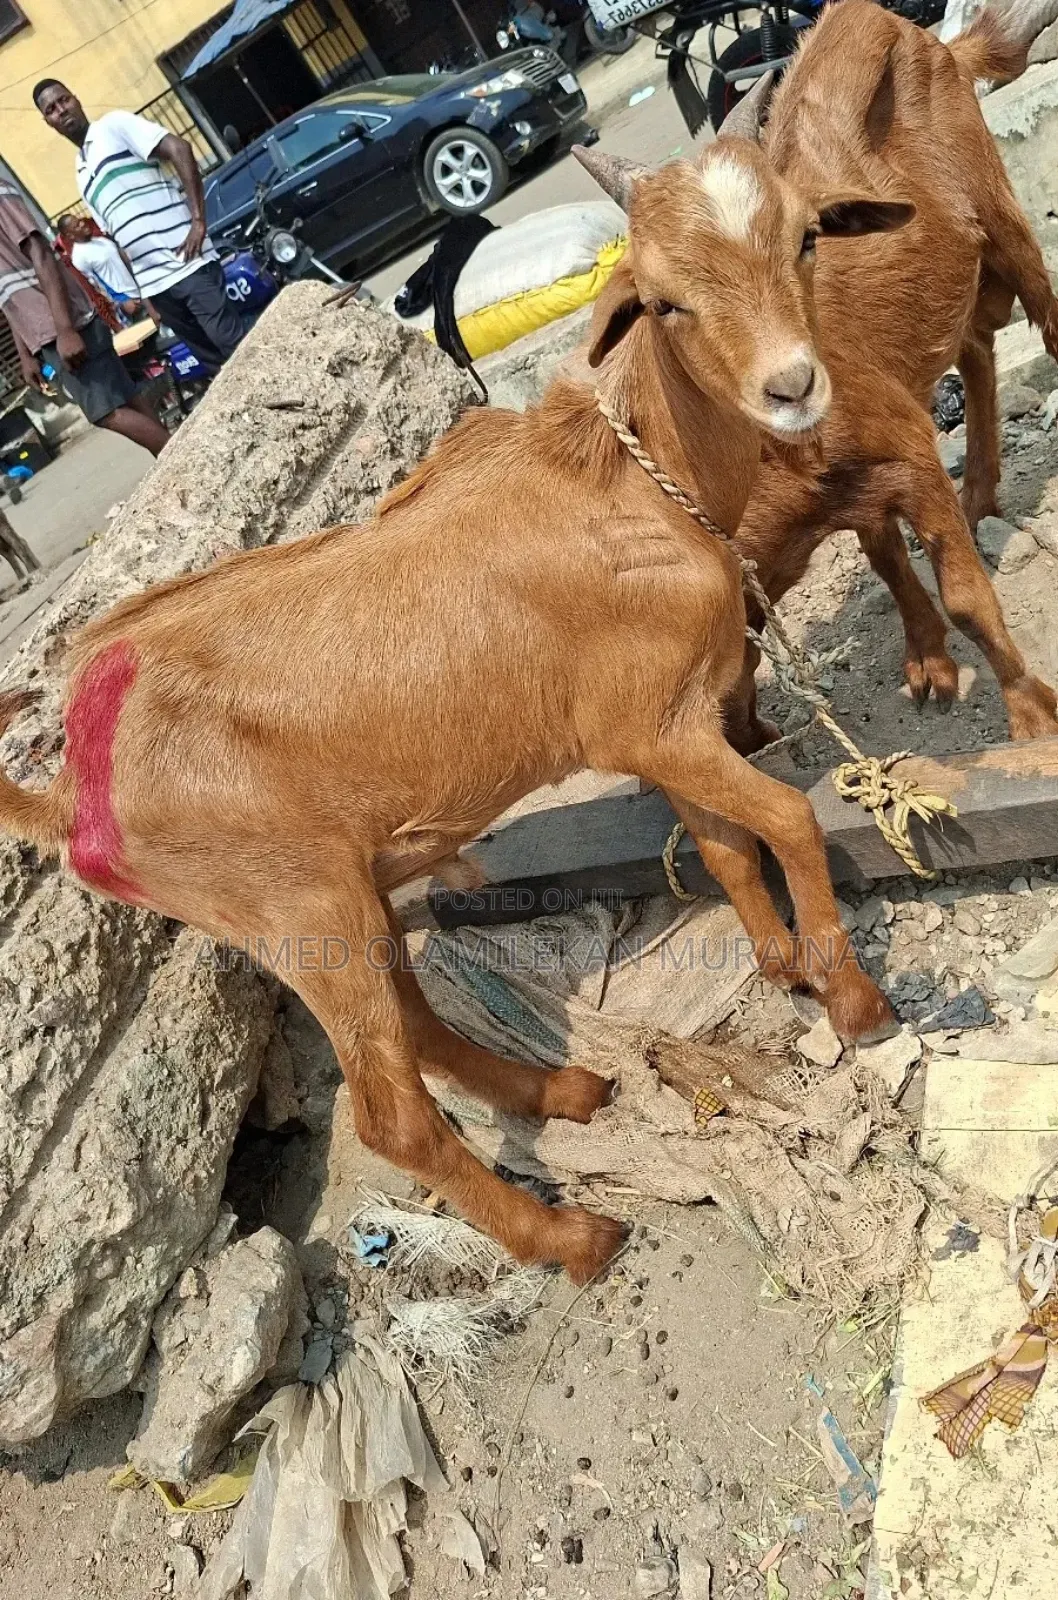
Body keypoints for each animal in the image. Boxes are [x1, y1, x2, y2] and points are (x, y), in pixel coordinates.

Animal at [0, 123, 908, 1283]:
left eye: (803, 238)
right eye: (663, 300)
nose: (791, 386)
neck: (633, 484)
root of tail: (74, 789)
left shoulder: (669, 729)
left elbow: (725, 848)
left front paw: (780, 966)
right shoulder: (649, 725)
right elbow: (789, 819)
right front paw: (853, 1000)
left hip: (340, 900)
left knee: (418, 1025)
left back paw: (561, 1088)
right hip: (298, 907)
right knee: (390, 1114)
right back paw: (569, 1235)